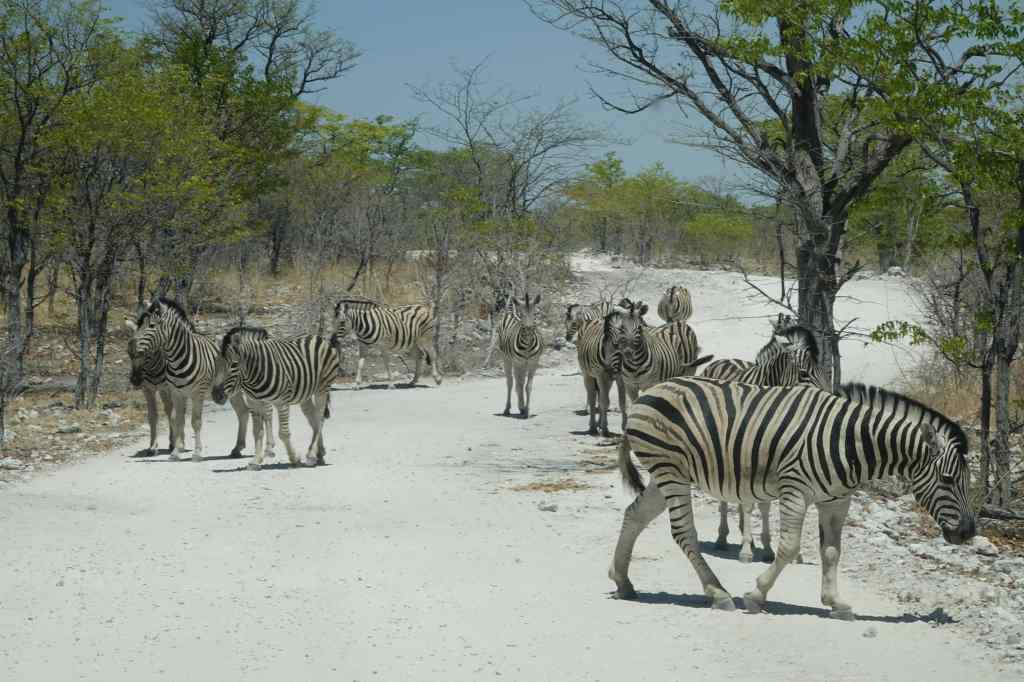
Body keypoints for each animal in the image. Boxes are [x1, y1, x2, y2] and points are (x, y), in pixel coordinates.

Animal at [129, 298, 255, 462]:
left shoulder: (197, 393)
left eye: (151, 326)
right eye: (139, 325)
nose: (135, 380)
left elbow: (195, 422)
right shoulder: (175, 393)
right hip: (233, 391)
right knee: (243, 412)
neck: (177, 359)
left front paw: (196, 453)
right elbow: (177, 420)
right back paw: (237, 449)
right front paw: (175, 451)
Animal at [211, 329, 340, 470]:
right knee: (314, 419)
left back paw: (311, 455)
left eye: (234, 364)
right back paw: (319, 454)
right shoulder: (254, 402)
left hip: (322, 388)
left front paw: (294, 459)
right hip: (304, 395)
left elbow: (283, 433)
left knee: (320, 418)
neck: (254, 375)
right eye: (216, 363)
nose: (216, 395)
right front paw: (256, 461)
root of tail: (317, 337)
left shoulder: (281, 402)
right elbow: (257, 432)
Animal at [609, 377, 975, 619]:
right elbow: (788, 548)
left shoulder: (836, 500)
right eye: (947, 479)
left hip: (667, 475)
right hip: (671, 470)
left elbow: (831, 552)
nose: (969, 532)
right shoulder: (795, 490)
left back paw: (623, 580)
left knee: (634, 515)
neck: (850, 442)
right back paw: (718, 593)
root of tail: (649, 392)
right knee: (683, 533)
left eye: (967, 482)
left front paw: (835, 602)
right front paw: (756, 595)